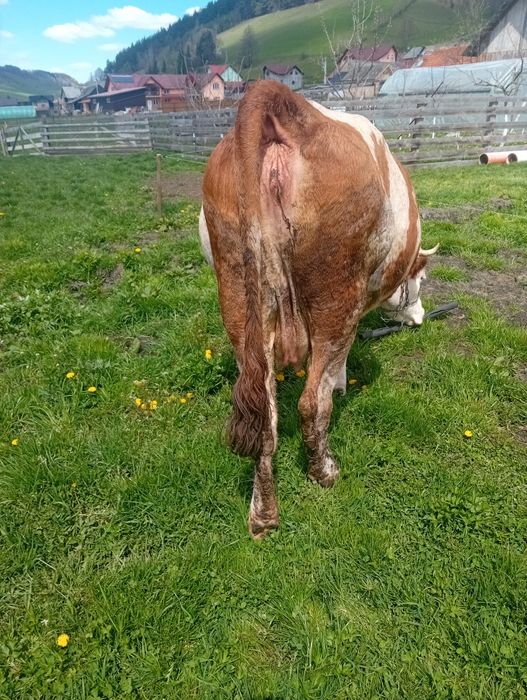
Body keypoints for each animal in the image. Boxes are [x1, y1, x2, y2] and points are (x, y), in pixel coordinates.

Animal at [200, 81, 436, 538]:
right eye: (419, 279)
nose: (418, 318)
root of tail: (284, 105)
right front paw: (343, 383)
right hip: (334, 297)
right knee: (312, 402)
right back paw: (324, 472)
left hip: (238, 297)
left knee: (266, 415)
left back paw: (263, 516)